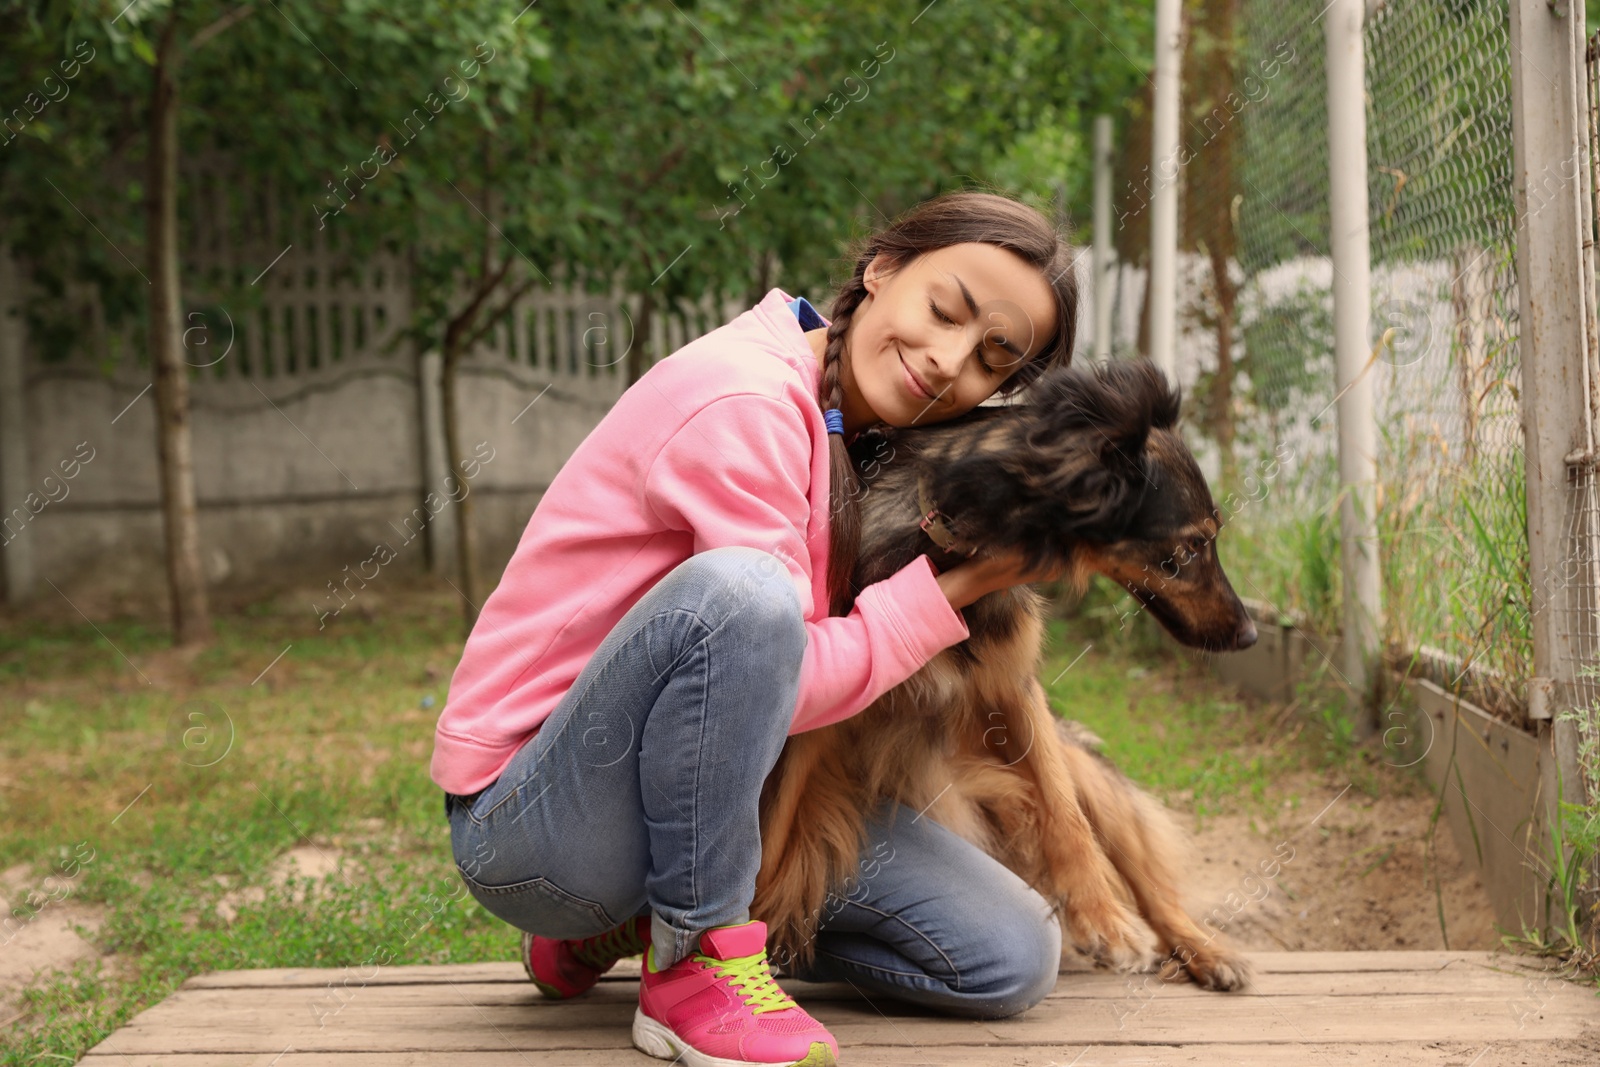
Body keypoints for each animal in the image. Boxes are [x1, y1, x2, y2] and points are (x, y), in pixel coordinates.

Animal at [752, 356, 1260, 991]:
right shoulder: (819, 716)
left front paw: (1104, 919)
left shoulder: (1016, 692)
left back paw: (1203, 949)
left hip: (1088, 775)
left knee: (1149, 885)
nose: (1252, 635)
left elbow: (1065, 815)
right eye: (1190, 548)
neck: (941, 536)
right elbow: (773, 832)